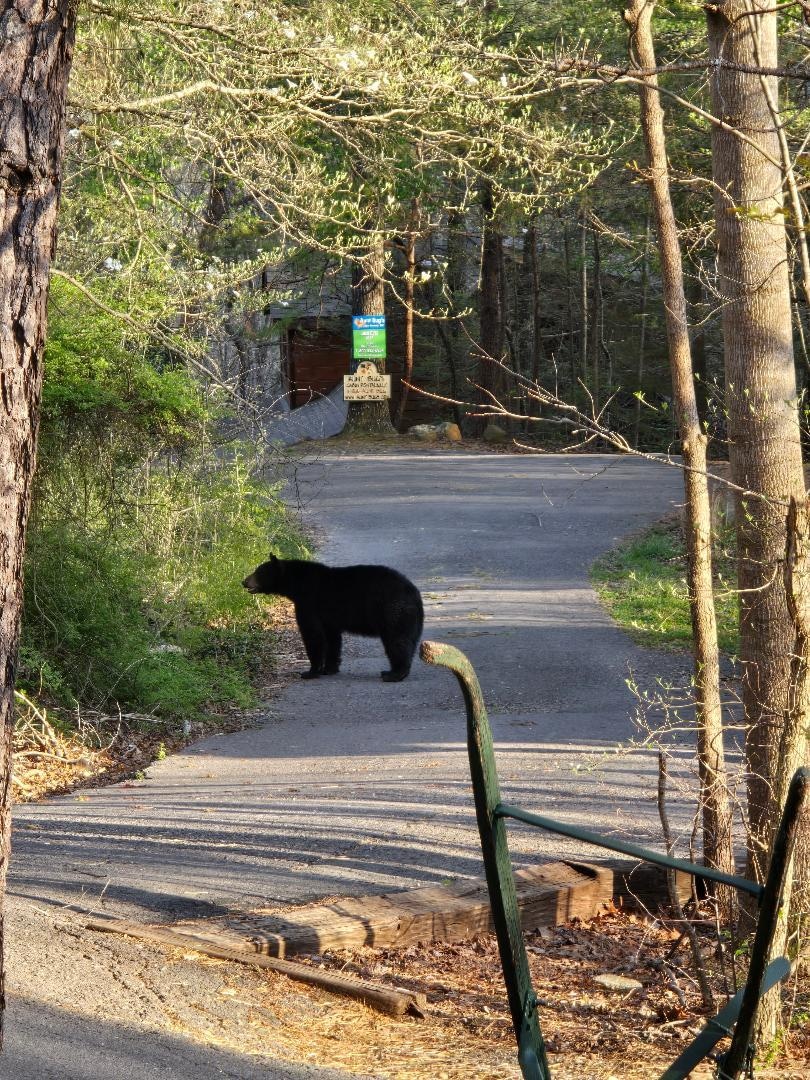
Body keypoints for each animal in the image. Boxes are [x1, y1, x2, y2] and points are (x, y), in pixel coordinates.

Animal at [242, 556, 424, 682]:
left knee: (396, 641)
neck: (297, 585)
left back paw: (394, 674)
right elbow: (332, 638)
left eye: (258, 572)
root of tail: (414, 592)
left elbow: (313, 635)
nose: (244, 581)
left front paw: (310, 671)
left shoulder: (309, 603)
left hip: (392, 610)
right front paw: (329, 668)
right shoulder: (328, 617)